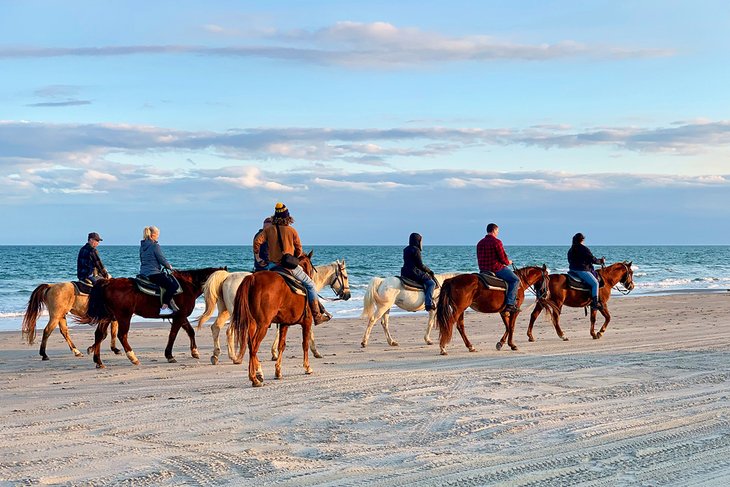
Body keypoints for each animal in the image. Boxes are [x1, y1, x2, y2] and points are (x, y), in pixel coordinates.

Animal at [78, 268, 223, 368]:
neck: (188, 286)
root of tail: (108, 282)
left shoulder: (180, 317)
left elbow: (190, 331)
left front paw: (194, 352)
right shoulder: (179, 317)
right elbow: (173, 335)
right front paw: (169, 355)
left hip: (108, 316)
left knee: (99, 334)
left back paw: (98, 361)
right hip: (124, 316)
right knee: (122, 335)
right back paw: (133, 357)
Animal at [196, 262, 350, 364]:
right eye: (345, 276)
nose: (348, 295)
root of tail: (227, 277)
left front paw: (274, 352)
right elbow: (309, 332)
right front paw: (316, 352)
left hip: (225, 311)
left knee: (216, 327)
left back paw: (216, 355)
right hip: (235, 313)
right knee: (230, 331)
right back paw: (234, 357)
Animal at [230, 254, 316, 386]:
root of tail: (253, 278)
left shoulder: (284, 323)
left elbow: (281, 346)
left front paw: (278, 371)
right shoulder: (307, 322)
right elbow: (305, 344)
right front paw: (307, 367)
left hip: (252, 324)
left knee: (250, 345)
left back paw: (258, 374)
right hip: (263, 325)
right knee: (254, 346)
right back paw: (254, 378)